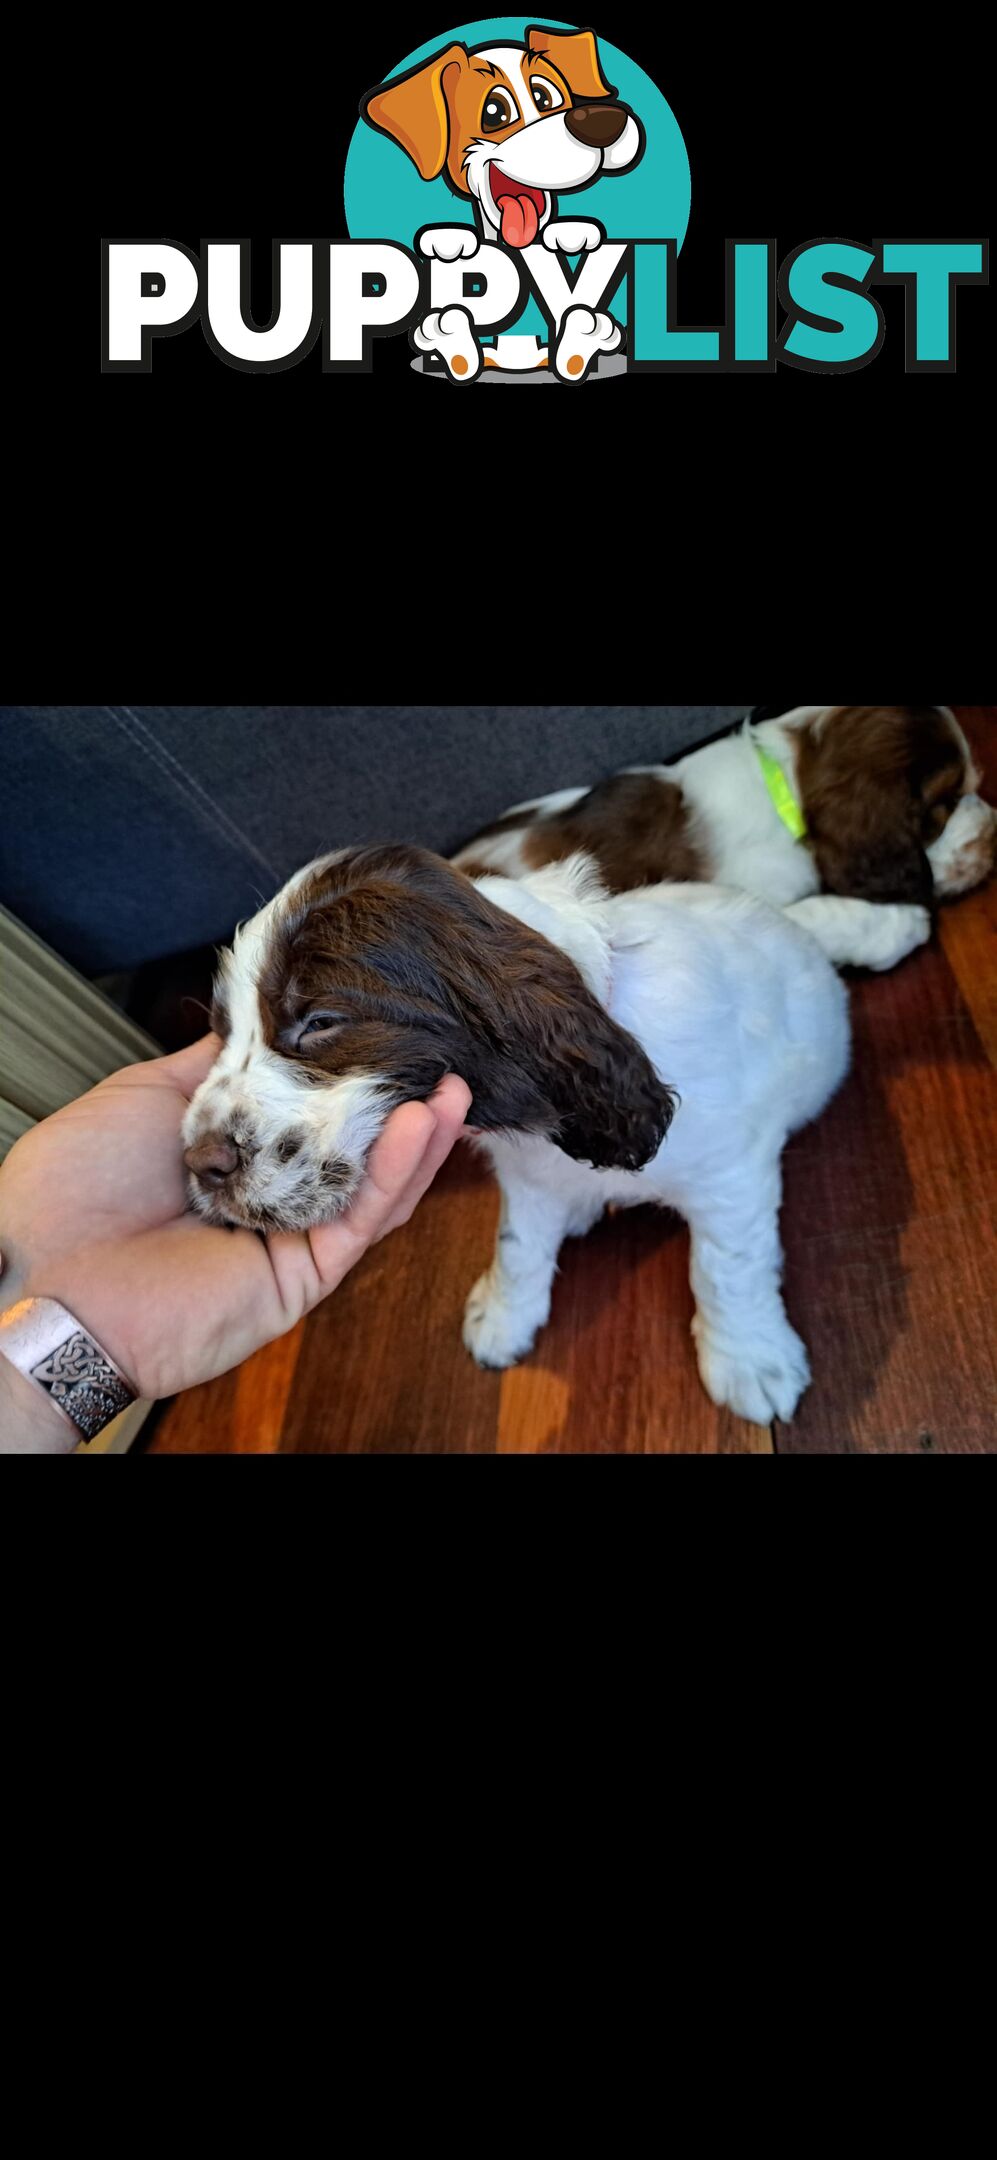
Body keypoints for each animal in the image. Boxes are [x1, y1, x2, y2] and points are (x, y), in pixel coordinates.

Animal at [184, 846, 850, 1434]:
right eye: (221, 1032)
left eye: (320, 1022)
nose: (198, 1163)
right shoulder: (527, 1178)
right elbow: (518, 1245)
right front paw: (502, 1320)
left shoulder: (729, 1174)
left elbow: (725, 1269)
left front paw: (750, 1361)